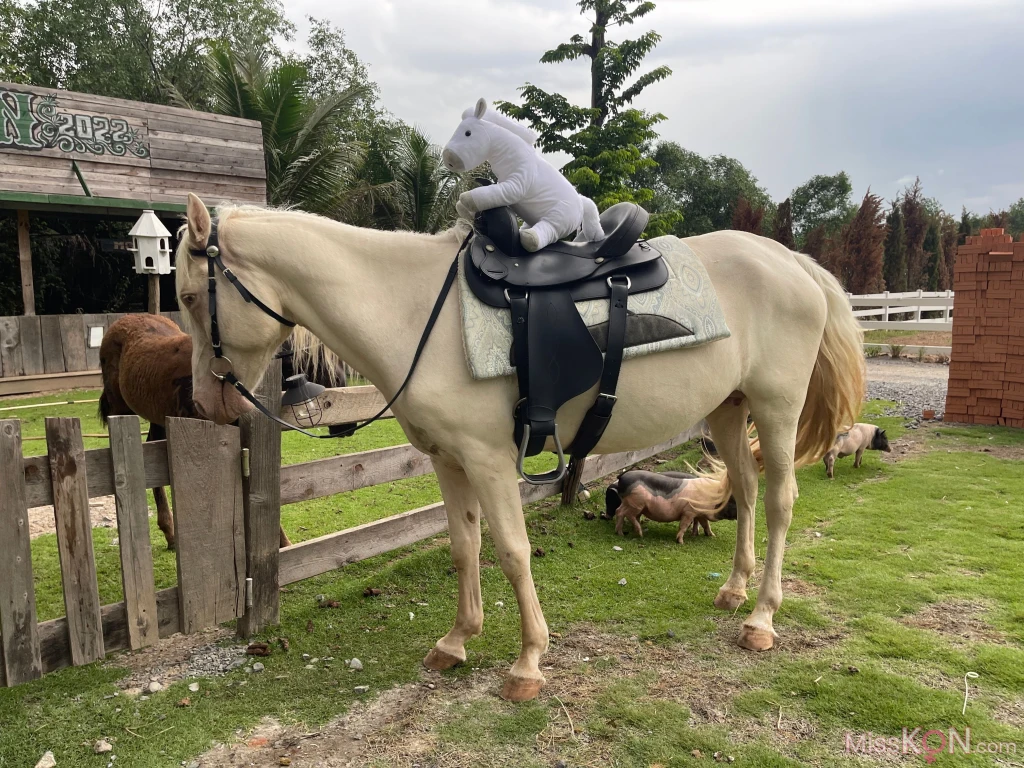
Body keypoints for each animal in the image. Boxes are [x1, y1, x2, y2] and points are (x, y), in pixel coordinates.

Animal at [174, 193, 864, 704]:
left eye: (184, 297)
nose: (204, 405)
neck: (412, 312)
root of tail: (791, 261)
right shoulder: (449, 462)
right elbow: (464, 548)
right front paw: (456, 641)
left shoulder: (488, 460)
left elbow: (511, 551)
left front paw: (528, 662)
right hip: (728, 408)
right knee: (743, 491)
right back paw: (734, 590)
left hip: (776, 409)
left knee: (778, 502)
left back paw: (761, 619)